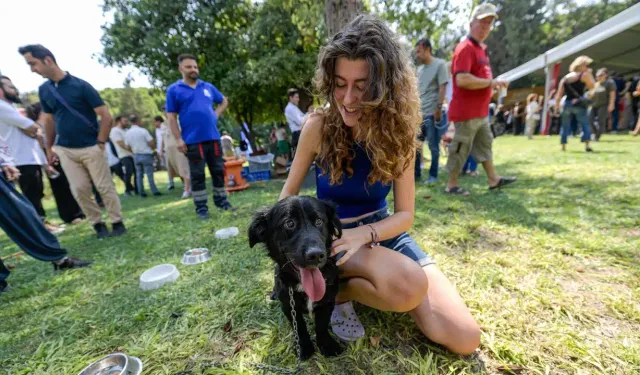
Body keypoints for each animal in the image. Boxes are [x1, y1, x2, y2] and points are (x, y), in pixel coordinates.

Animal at [248, 195, 342, 360]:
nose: (316, 255)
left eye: (319, 221)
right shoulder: (288, 305)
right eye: (289, 223)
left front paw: (327, 345)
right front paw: (304, 348)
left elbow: (322, 325)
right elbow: (299, 328)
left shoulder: (328, 301)